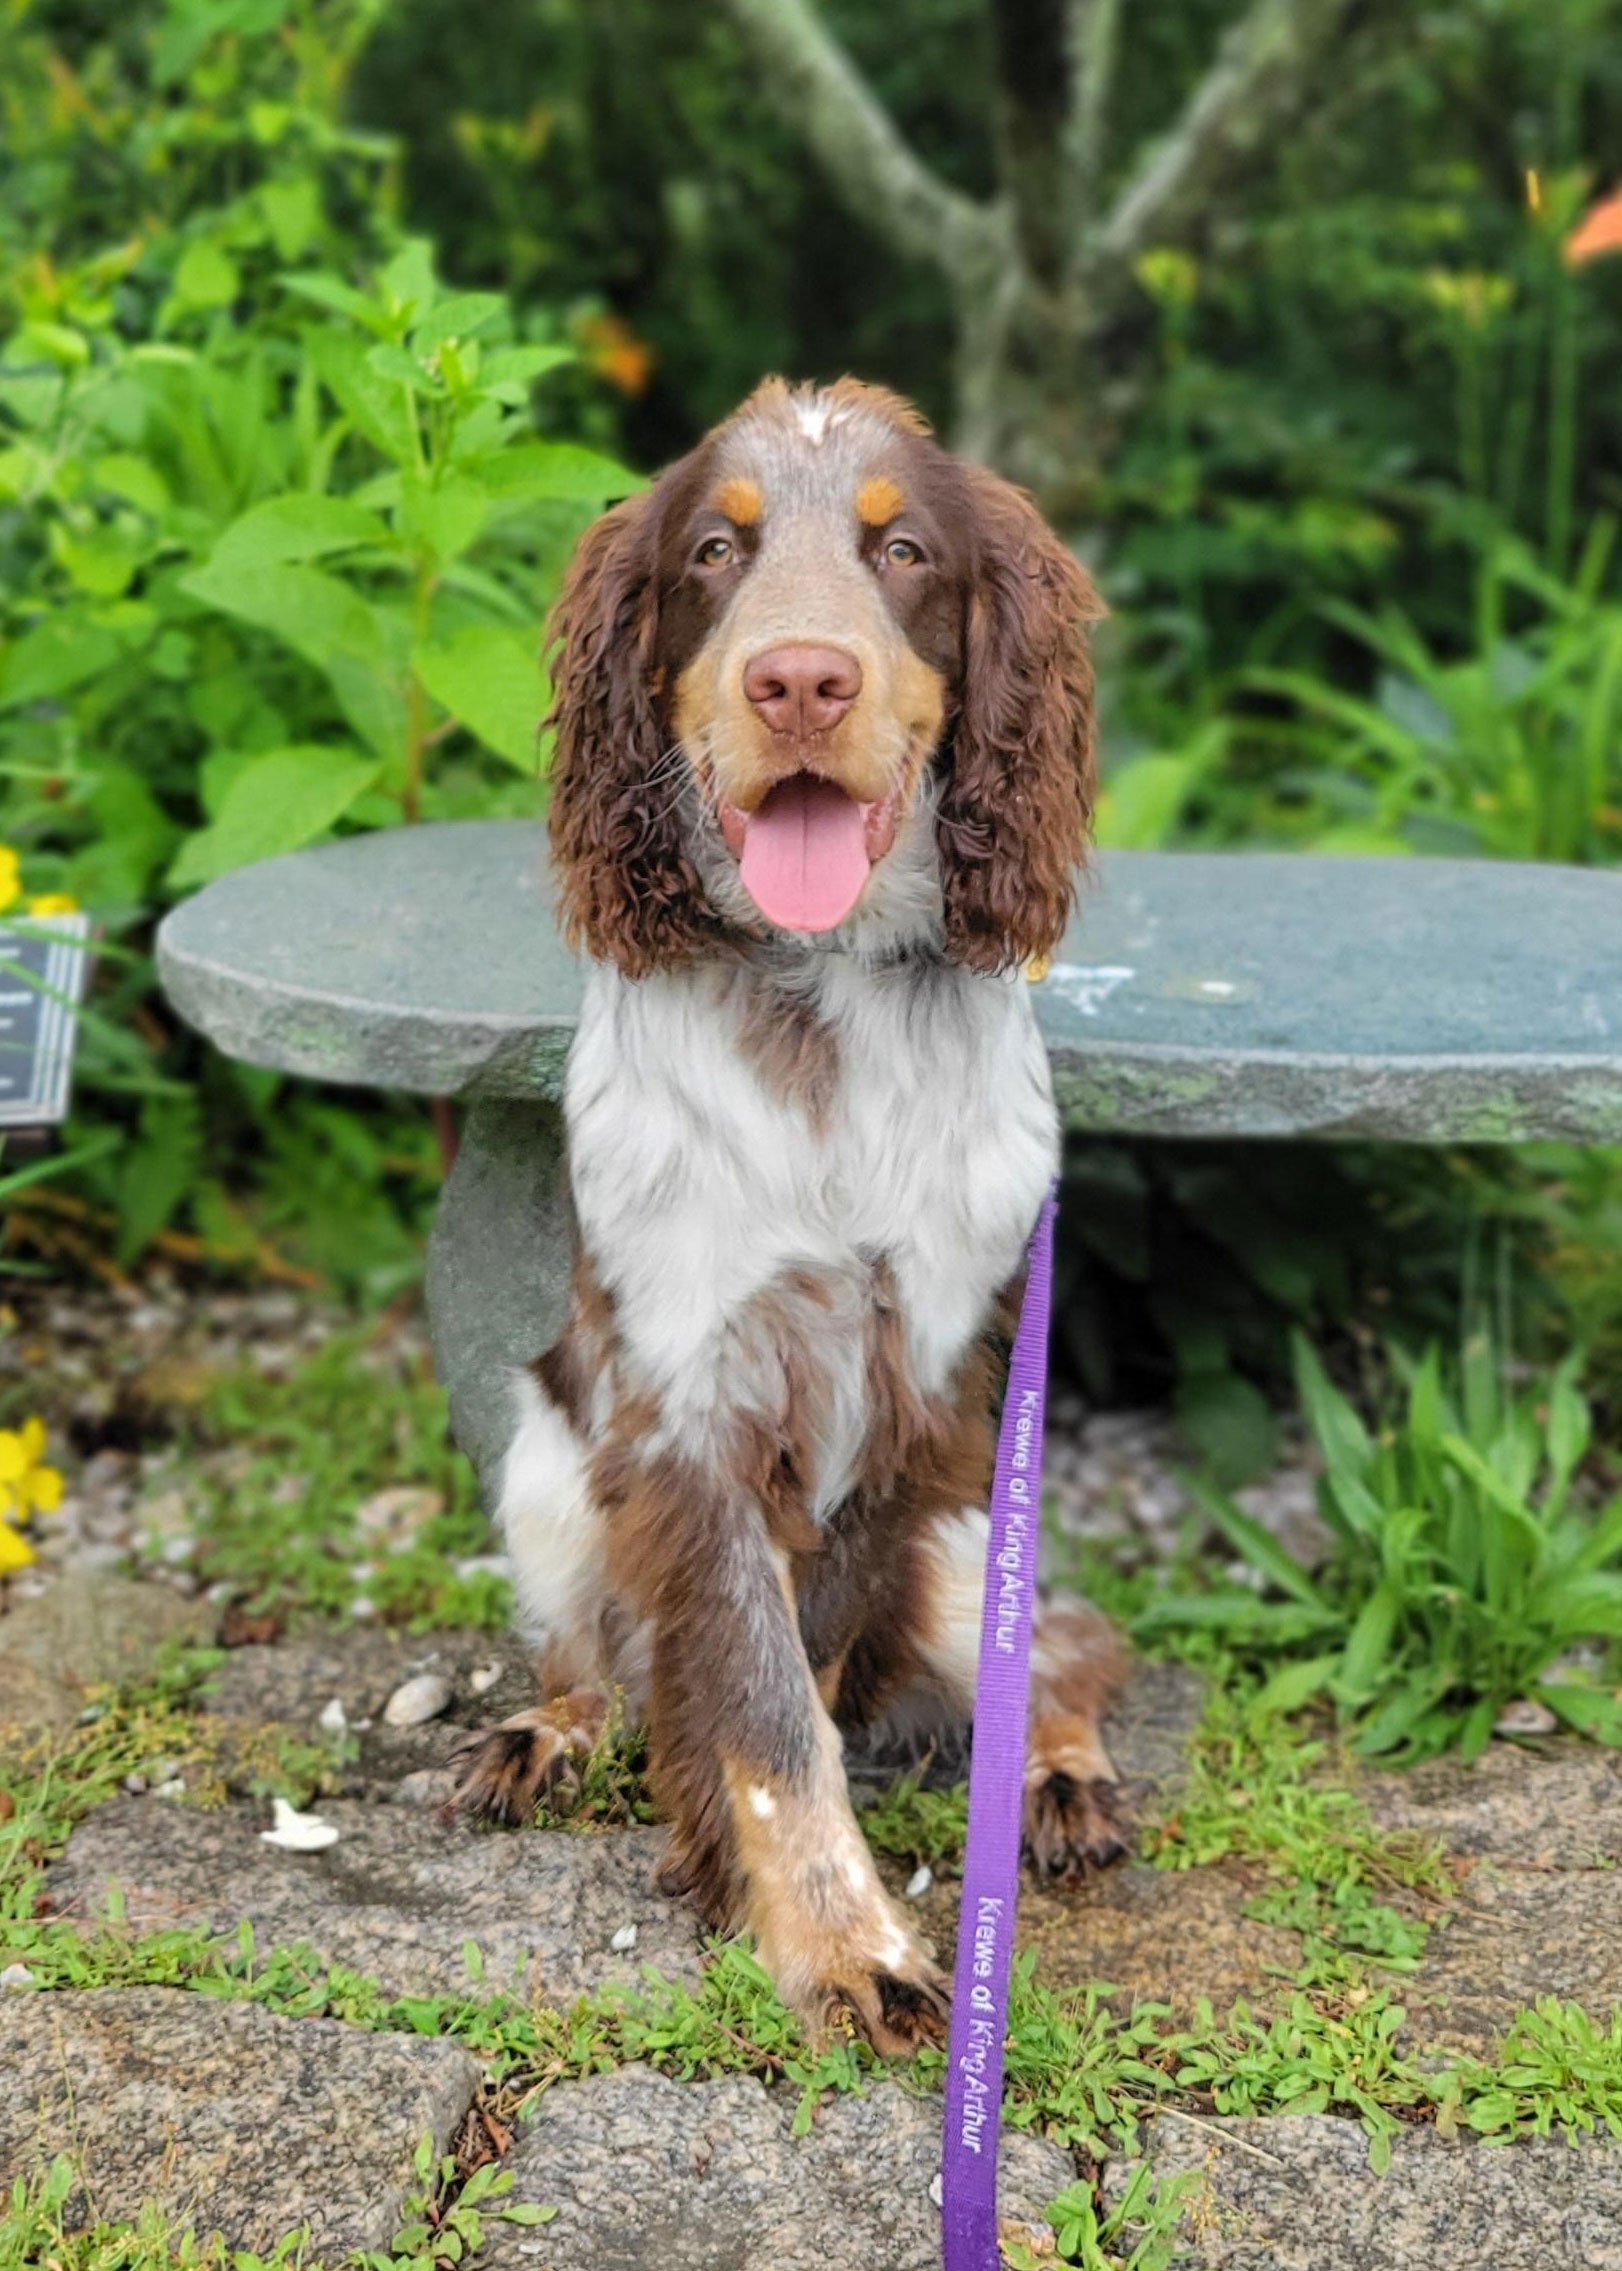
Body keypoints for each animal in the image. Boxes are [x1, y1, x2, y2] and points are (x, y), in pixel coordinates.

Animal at [442, 376, 1126, 2062]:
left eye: (902, 548)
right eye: (710, 548)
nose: (800, 680)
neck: (815, 1001)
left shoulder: (917, 1378)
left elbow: (807, 1666)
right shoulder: (682, 1396)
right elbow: (762, 1701)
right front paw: (838, 1939)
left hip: (975, 1529)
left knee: (1060, 1650)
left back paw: (1058, 1773)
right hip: (545, 1461)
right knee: (592, 1643)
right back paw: (550, 1728)